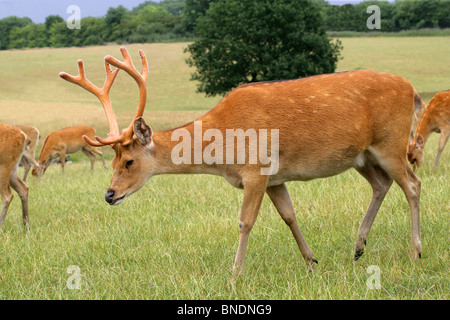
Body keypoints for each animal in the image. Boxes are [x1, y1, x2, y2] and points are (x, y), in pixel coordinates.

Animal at [60, 47, 426, 278]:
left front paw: (235, 273)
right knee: (382, 184)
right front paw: (312, 261)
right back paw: (359, 247)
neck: (223, 148)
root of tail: (413, 90)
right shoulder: (276, 178)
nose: (109, 194)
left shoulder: (256, 169)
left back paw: (415, 251)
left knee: (412, 184)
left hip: (391, 142)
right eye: (113, 161)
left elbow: (245, 221)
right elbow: (290, 216)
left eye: (129, 161)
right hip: (362, 155)